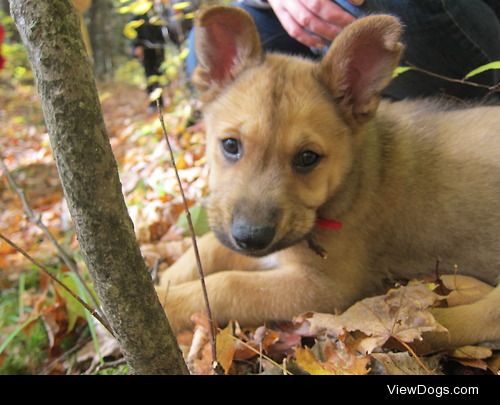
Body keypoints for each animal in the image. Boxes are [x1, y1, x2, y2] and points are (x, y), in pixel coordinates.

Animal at [158, 6, 500, 348]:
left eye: (308, 158)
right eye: (230, 145)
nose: (251, 238)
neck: (353, 178)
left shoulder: (321, 286)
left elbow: (227, 285)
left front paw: (166, 302)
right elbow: (208, 246)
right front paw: (166, 279)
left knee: (476, 320)